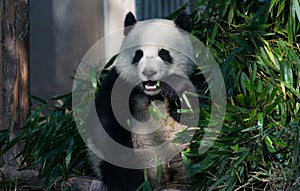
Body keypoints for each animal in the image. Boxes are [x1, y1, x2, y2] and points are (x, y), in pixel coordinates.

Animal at [93, 10, 206, 191]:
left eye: (164, 53)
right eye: (138, 54)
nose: (149, 72)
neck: (153, 94)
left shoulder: (196, 75)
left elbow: (200, 106)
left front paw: (175, 89)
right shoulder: (118, 82)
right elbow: (106, 116)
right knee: (121, 174)